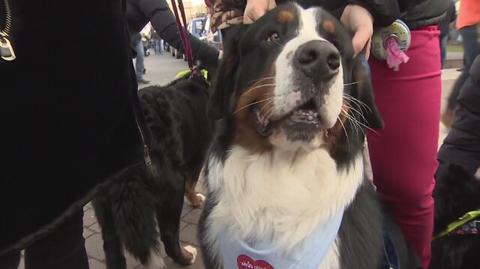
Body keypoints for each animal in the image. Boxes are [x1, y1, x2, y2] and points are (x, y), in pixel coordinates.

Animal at [93, 73, 213, 266]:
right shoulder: (198, 154)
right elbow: (192, 183)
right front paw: (195, 200)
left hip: (102, 202)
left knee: (111, 248)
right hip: (171, 187)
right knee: (169, 235)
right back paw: (186, 257)